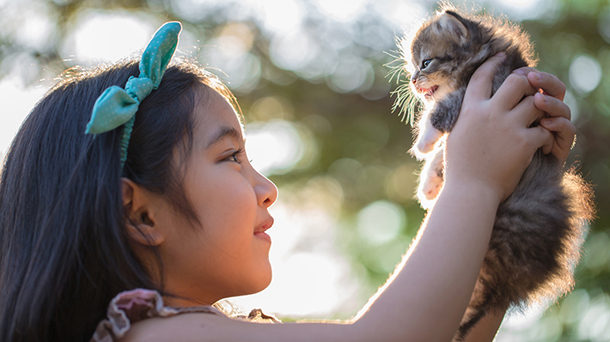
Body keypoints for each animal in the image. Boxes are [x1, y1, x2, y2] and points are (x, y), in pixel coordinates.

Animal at [394, 6, 592, 342]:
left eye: (425, 63)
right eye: (412, 66)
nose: (412, 80)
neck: (482, 57)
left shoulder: (490, 85)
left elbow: (445, 109)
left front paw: (423, 141)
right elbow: (444, 150)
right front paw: (430, 181)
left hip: (503, 236)